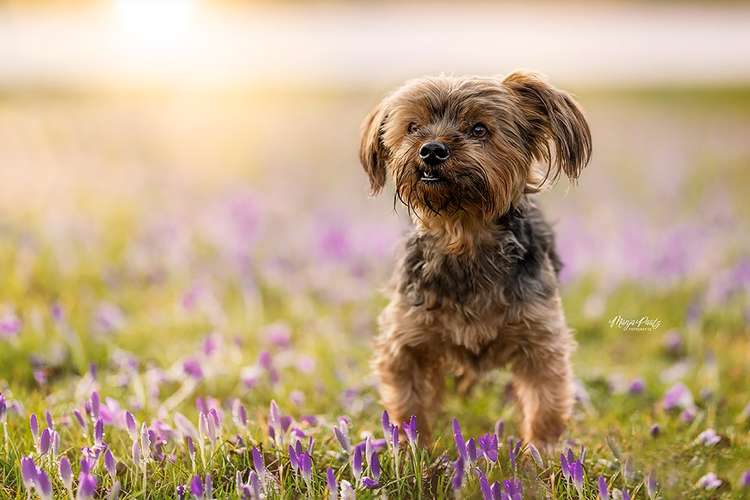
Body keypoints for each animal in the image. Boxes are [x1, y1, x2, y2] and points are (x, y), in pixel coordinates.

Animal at [358, 70, 592, 446]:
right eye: (412, 127)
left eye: (479, 129)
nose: (431, 149)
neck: (463, 233)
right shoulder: (407, 338)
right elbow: (408, 403)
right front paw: (413, 449)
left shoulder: (540, 339)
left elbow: (544, 404)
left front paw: (542, 453)